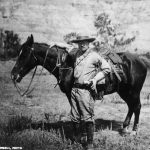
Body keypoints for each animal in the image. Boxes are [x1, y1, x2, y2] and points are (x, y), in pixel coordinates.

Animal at [11, 34, 150, 135]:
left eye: (24, 54)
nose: (13, 75)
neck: (66, 65)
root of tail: (141, 61)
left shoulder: (70, 94)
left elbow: (78, 113)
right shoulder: (71, 94)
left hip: (133, 91)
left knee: (137, 106)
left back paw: (134, 131)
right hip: (124, 91)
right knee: (131, 106)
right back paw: (125, 128)